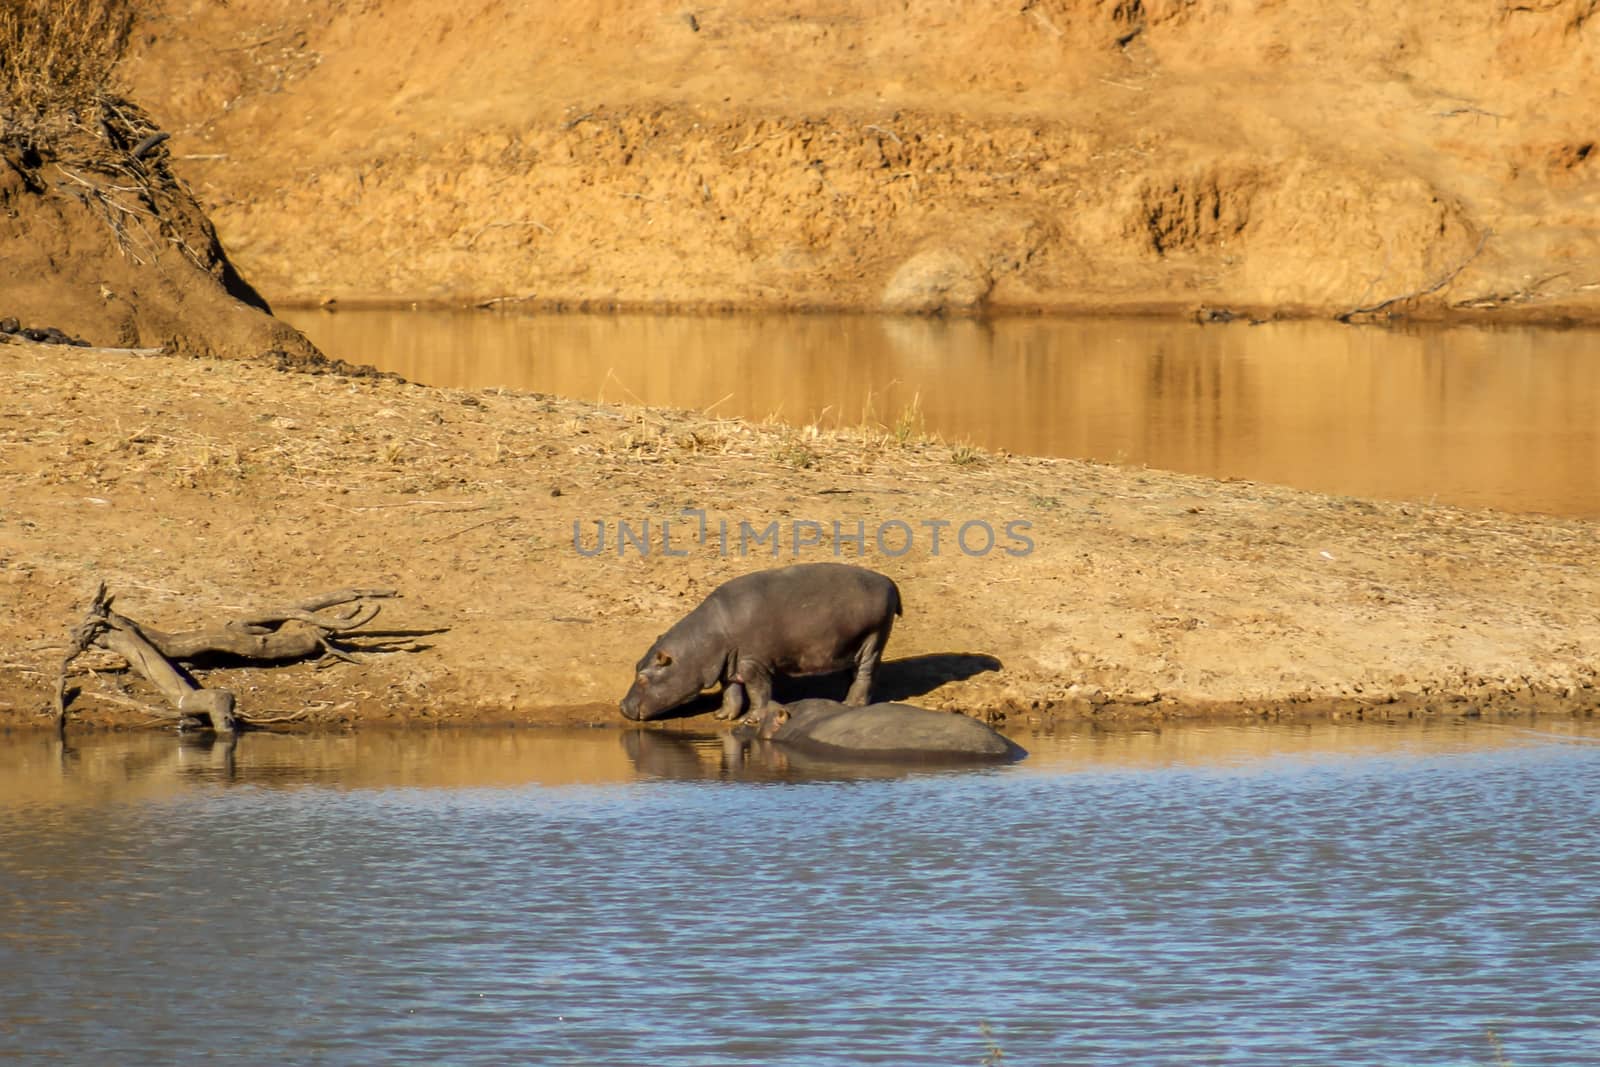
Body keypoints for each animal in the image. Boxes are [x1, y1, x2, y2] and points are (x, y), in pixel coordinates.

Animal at [620, 563, 908, 723]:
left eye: (643, 677)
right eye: (635, 666)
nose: (622, 707)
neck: (701, 644)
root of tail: (889, 581)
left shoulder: (752, 663)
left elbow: (758, 692)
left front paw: (750, 720)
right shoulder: (729, 663)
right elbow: (731, 692)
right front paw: (721, 716)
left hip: (873, 641)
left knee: (866, 674)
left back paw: (851, 705)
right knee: (856, 673)